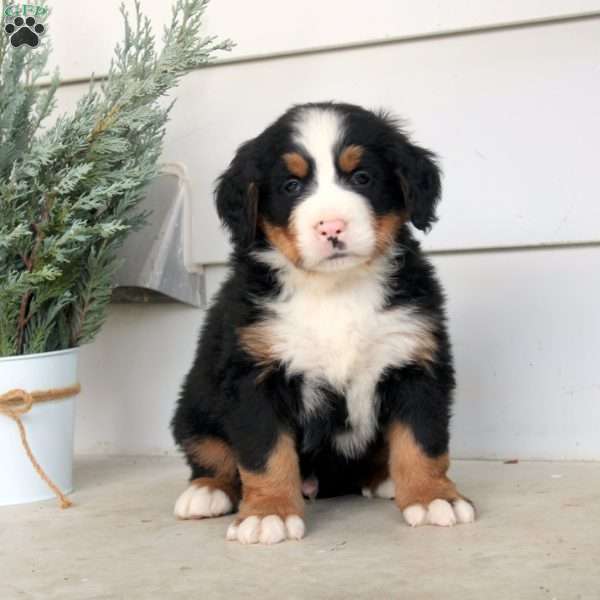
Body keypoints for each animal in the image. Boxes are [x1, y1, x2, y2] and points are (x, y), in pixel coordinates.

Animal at [171, 102, 476, 544]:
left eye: (362, 177)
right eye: (291, 186)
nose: (331, 226)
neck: (335, 289)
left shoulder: (415, 362)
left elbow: (423, 442)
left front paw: (433, 496)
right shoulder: (254, 376)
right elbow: (264, 453)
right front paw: (268, 512)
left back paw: (383, 477)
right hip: (194, 406)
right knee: (211, 453)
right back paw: (207, 491)